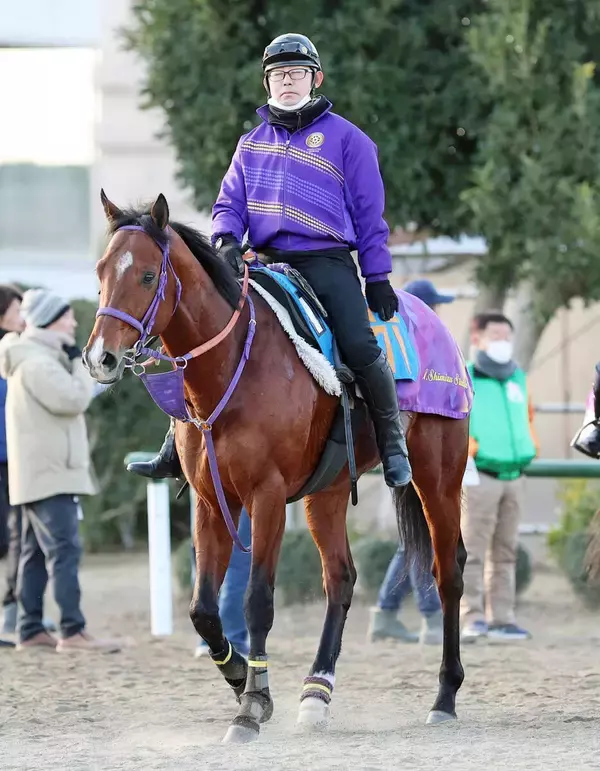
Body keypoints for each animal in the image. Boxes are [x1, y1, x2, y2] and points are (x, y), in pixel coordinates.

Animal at [84, 190, 470, 745]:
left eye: (147, 276)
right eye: (100, 270)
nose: (102, 358)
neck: (232, 366)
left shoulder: (265, 497)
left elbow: (257, 602)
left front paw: (251, 706)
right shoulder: (211, 502)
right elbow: (203, 610)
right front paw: (241, 678)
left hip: (437, 478)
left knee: (448, 573)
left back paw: (444, 696)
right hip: (327, 492)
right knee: (341, 578)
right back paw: (316, 692)